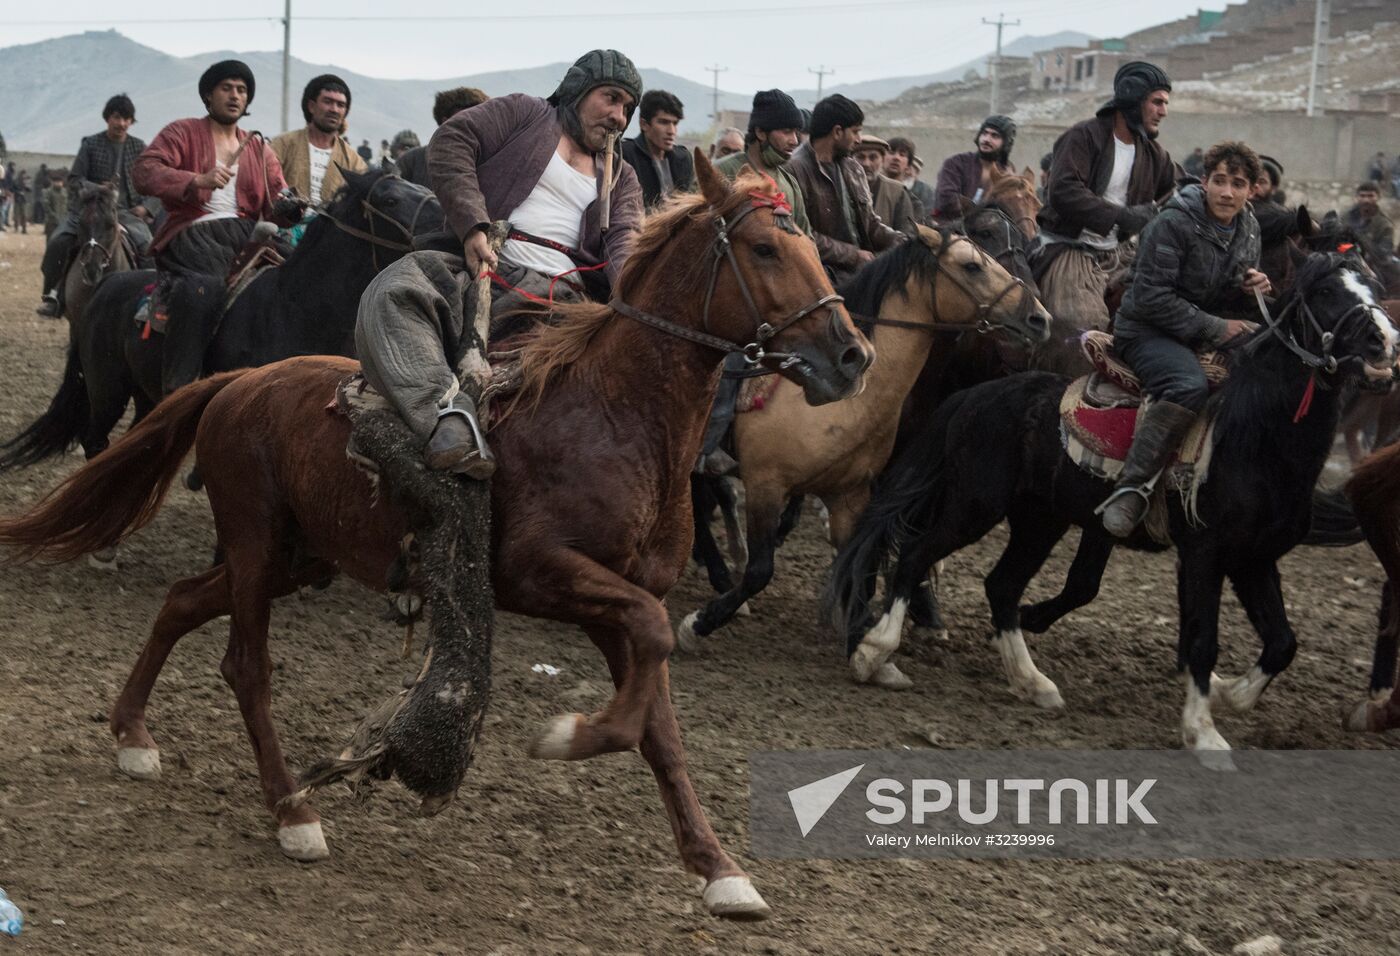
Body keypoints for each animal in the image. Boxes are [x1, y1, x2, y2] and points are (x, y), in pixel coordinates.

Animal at [0, 170, 436, 473]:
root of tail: (106, 285)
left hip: (145, 393)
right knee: (95, 441)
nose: (444, 219)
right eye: (391, 197)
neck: (295, 306)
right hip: (107, 389)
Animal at [823, 251, 1394, 755]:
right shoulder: (1205, 555)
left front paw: (1227, 694)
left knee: (1001, 586)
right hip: (975, 506)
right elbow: (1202, 640)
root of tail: (976, 397)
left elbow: (1282, 643)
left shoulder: (1255, 560)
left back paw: (1033, 683)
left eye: (1374, 285)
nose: (1384, 342)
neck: (1252, 437)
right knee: (916, 556)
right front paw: (1203, 732)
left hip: (1040, 521)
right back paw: (874, 655)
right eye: (1327, 292)